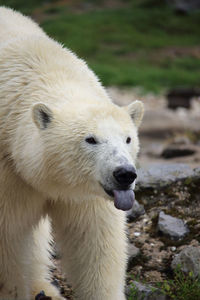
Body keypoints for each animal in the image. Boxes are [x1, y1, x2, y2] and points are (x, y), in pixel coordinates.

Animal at [0, 6, 144, 300]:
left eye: (128, 138)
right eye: (91, 139)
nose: (125, 174)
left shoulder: (85, 195)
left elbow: (94, 240)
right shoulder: (8, 173)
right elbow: (9, 239)